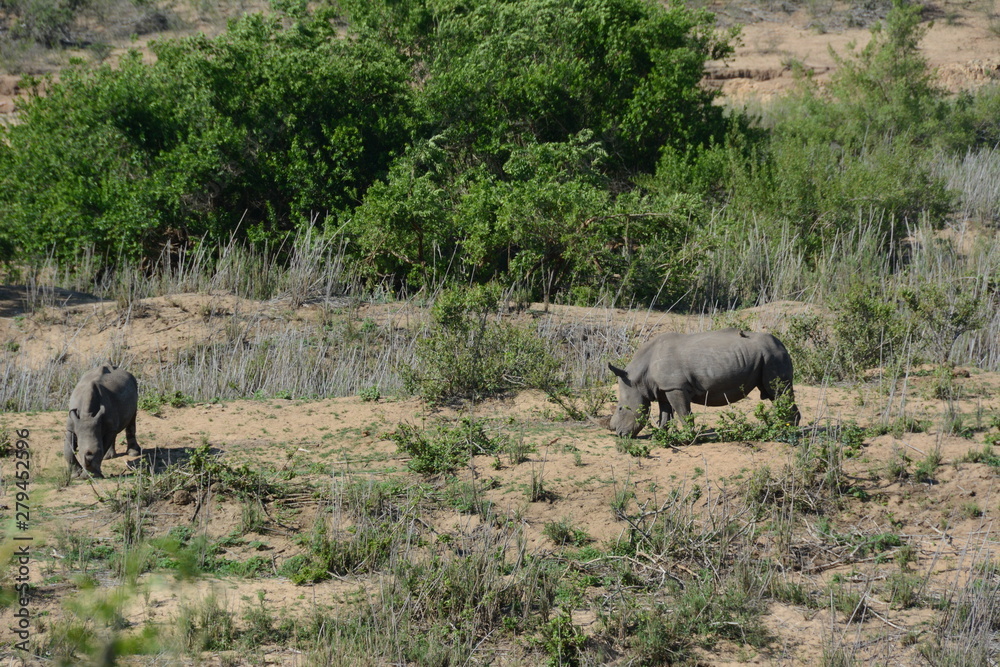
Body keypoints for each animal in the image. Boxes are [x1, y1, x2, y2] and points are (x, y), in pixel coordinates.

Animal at [608, 329, 800, 437]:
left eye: (620, 408)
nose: (618, 434)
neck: (638, 377)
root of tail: (783, 344)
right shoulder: (663, 388)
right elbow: (665, 415)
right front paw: (659, 436)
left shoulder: (675, 387)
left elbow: (683, 412)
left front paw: (688, 438)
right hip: (769, 354)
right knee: (775, 394)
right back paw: (781, 426)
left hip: (773, 354)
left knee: (778, 391)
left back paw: (786, 429)